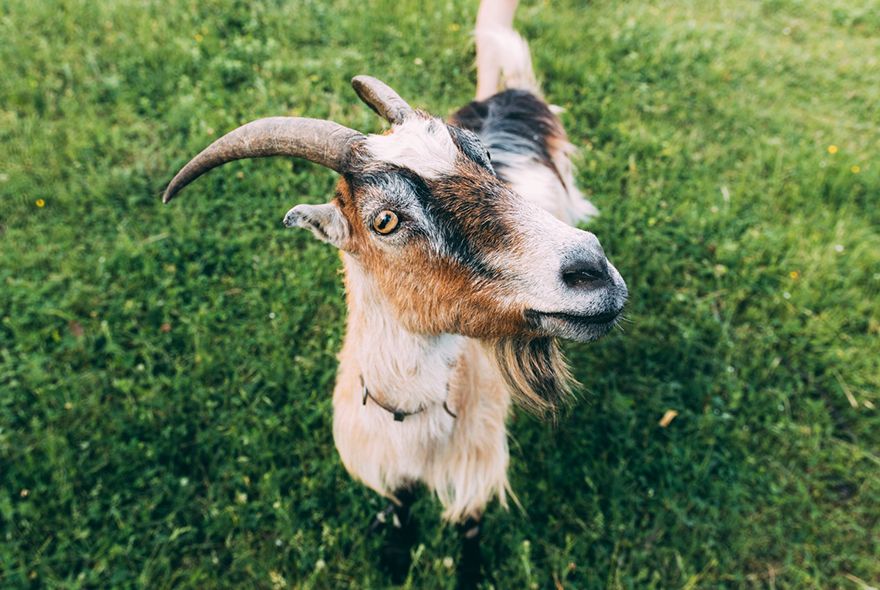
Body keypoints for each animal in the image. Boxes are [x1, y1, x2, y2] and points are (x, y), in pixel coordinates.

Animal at [160, 0, 624, 588]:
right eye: (384, 220)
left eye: (484, 161)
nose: (593, 270)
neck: (414, 418)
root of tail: (508, 94)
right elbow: (400, 510)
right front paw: (396, 556)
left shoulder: (475, 468)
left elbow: (469, 529)